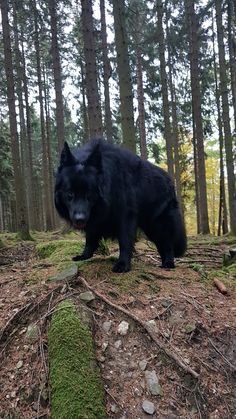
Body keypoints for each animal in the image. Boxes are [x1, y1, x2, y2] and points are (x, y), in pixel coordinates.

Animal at [54, 139, 187, 274]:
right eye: (70, 194)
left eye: (89, 194)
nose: (79, 219)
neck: (110, 183)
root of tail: (170, 182)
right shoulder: (94, 218)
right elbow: (90, 238)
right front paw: (85, 255)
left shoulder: (125, 217)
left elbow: (125, 242)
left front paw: (123, 264)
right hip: (150, 228)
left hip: (158, 225)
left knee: (167, 243)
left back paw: (169, 263)